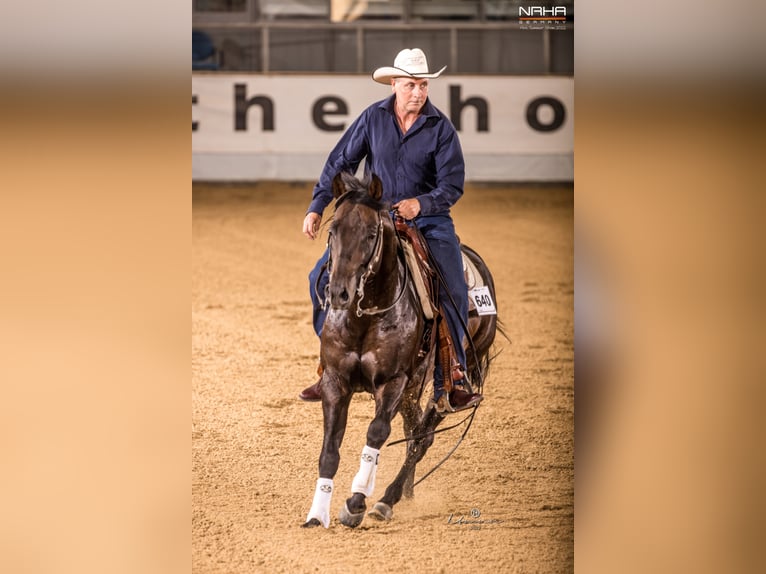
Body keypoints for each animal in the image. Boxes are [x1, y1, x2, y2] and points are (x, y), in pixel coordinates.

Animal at [302, 172, 500, 529]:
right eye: (332, 231)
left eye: (371, 234)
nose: (339, 292)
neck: (367, 314)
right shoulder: (335, 382)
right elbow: (329, 450)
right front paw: (317, 513)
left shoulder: (393, 382)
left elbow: (377, 432)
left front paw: (356, 502)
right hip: (413, 388)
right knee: (413, 430)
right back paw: (405, 491)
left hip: (441, 383)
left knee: (423, 436)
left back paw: (386, 500)